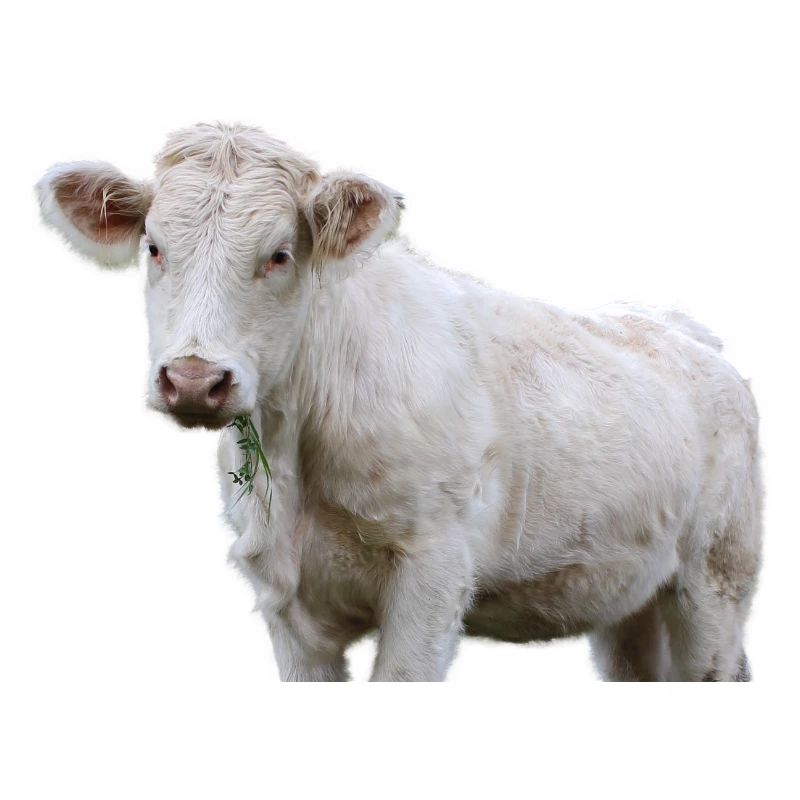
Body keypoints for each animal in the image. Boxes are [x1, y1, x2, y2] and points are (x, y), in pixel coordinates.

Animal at [36, 123, 762, 681]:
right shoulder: (287, 604)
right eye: (154, 247)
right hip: (624, 597)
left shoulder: (433, 572)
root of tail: (679, 329)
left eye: (280, 254)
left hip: (716, 579)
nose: (192, 378)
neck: (297, 457)